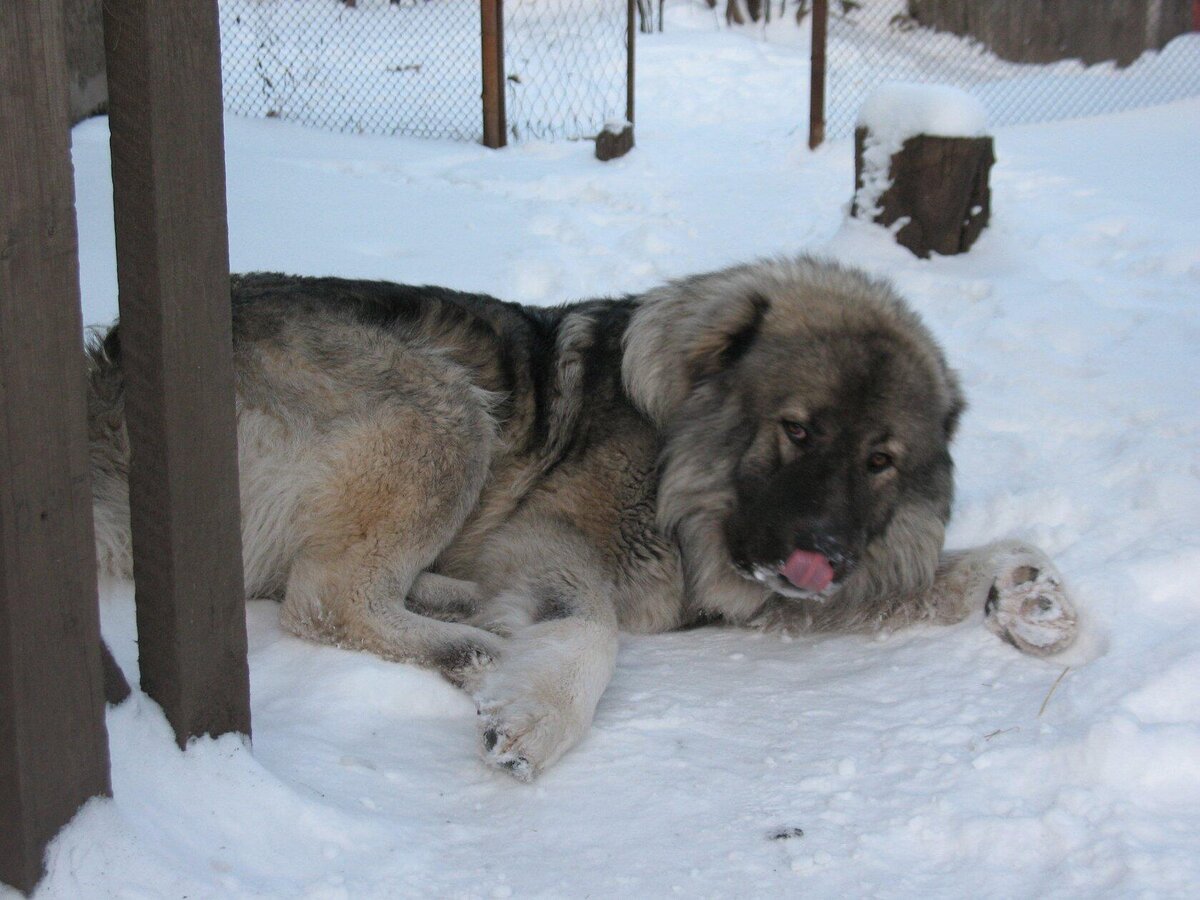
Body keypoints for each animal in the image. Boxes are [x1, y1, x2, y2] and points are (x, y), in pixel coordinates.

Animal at [84, 255, 1080, 782]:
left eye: (881, 460)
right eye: (797, 431)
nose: (825, 553)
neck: (680, 464)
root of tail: (111, 378)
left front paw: (1025, 589)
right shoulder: (545, 540)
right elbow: (590, 625)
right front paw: (543, 707)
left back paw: (453, 603)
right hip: (446, 411)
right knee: (324, 598)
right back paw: (468, 644)